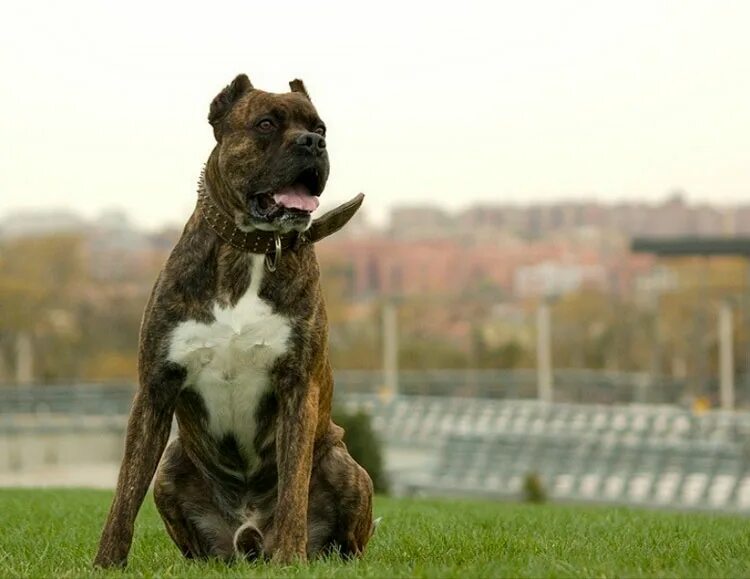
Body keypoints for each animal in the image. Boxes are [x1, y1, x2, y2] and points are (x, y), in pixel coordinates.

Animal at [94, 75, 376, 568]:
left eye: (320, 127)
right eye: (265, 124)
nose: (312, 142)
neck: (250, 249)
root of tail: (247, 536)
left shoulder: (297, 387)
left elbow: (293, 486)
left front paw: (290, 558)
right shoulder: (155, 388)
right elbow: (125, 491)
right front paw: (107, 563)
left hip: (344, 464)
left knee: (344, 539)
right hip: (171, 467)